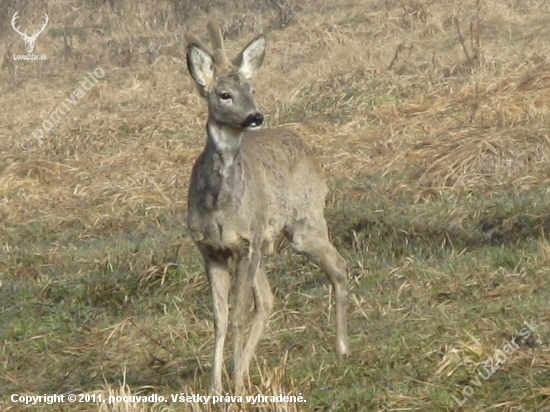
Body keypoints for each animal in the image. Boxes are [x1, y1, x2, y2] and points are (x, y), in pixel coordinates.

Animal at [185, 20, 350, 394]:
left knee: (339, 265)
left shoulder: (246, 244)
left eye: (251, 88)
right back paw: (245, 369)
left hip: (304, 222)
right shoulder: (211, 249)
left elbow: (237, 317)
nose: (254, 116)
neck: (219, 206)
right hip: (265, 242)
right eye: (224, 94)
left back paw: (342, 348)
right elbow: (220, 319)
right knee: (269, 300)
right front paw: (216, 387)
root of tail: (308, 149)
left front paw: (233, 387)